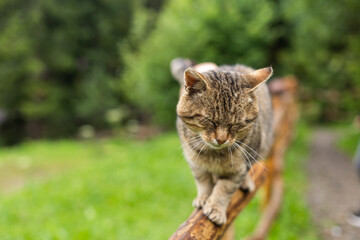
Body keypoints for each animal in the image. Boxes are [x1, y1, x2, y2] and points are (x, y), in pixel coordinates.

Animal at [171, 58, 272, 225]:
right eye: (209, 120)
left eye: (236, 124)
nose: (221, 139)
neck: (213, 155)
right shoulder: (195, 163)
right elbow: (203, 181)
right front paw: (204, 197)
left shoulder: (238, 170)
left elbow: (224, 188)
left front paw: (216, 208)